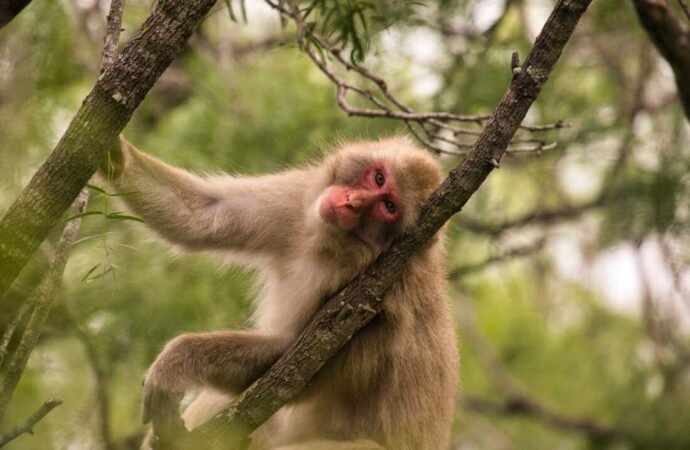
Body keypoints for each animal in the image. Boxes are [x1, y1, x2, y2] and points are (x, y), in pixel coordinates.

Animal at [102, 136, 459, 450]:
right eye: (379, 177)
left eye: (387, 206)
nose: (352, 203)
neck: (331, 244)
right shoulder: (298, 199)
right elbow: (206, 215)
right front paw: (114, 153)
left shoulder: (372, 295)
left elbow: (293, 367)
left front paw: (176, 362)